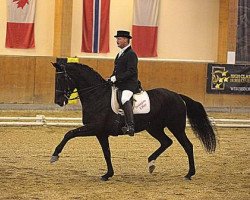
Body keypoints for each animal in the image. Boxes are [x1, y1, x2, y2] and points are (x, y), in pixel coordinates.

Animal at [50, 61, 217, 180]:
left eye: (62, 78)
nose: (59, 101)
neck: (97, 95)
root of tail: (177, 95)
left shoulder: (94, 127)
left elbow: (69, 133)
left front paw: (55, 155)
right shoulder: (101, 133)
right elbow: (106, 152)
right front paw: (108, 174)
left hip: (176, 127)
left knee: (187, 146)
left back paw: (189, 174)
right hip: (154, 128)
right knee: (166, 142)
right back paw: (151, 163)